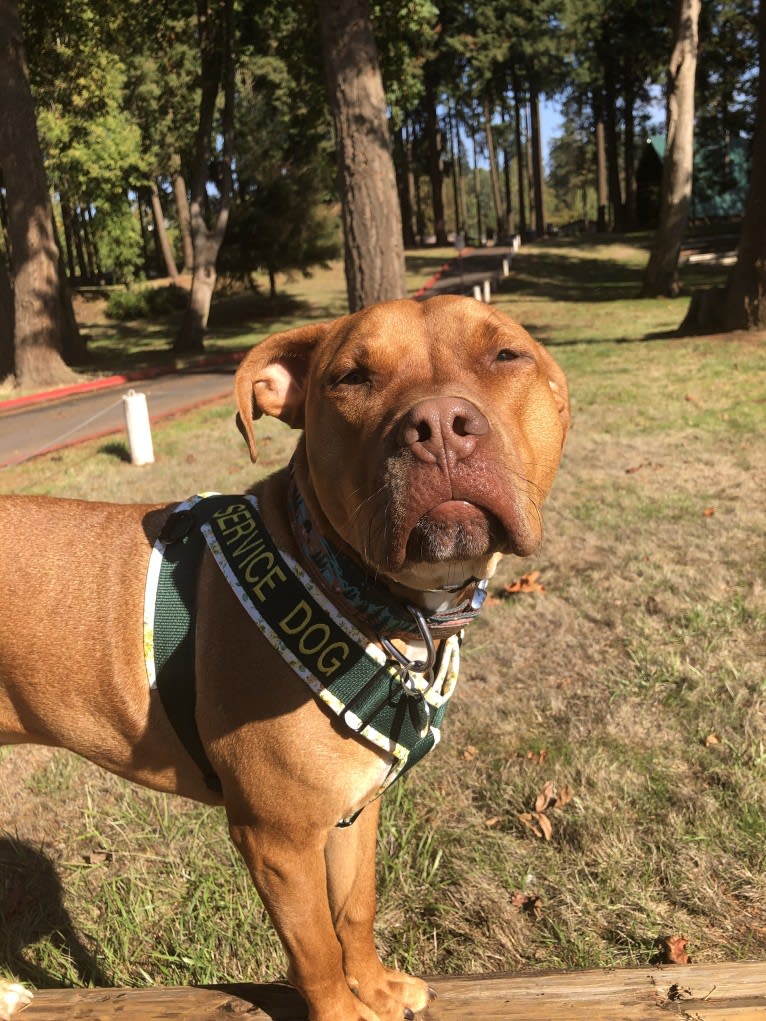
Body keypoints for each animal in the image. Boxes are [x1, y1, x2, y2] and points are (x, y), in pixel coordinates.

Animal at [0, 296, 571, 1021]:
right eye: (351, 377)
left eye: (506, 355)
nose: (439, 425)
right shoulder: (277, 839)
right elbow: (316, 948)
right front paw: (344, 1008)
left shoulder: (355, 809)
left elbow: (354, 909)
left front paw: (376, 985)